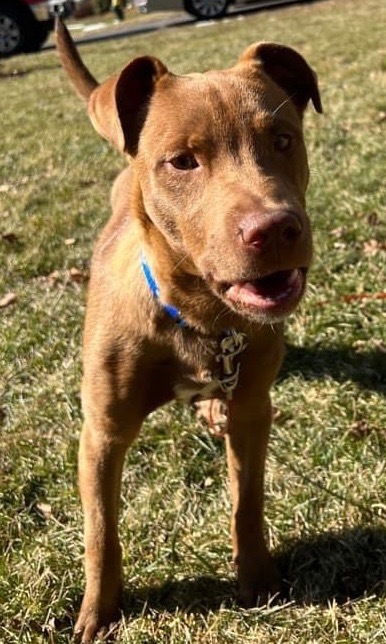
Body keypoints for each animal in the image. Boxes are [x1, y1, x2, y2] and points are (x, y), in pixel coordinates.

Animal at [54, 17, 322, 640]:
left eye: (282, 139)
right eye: (182, 161)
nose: (275, 229)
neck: (199, 320)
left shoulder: (253, 412)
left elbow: (247, 501)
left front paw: (257, 580)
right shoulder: (101, 435)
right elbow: (101, 533)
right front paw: (98, 613)